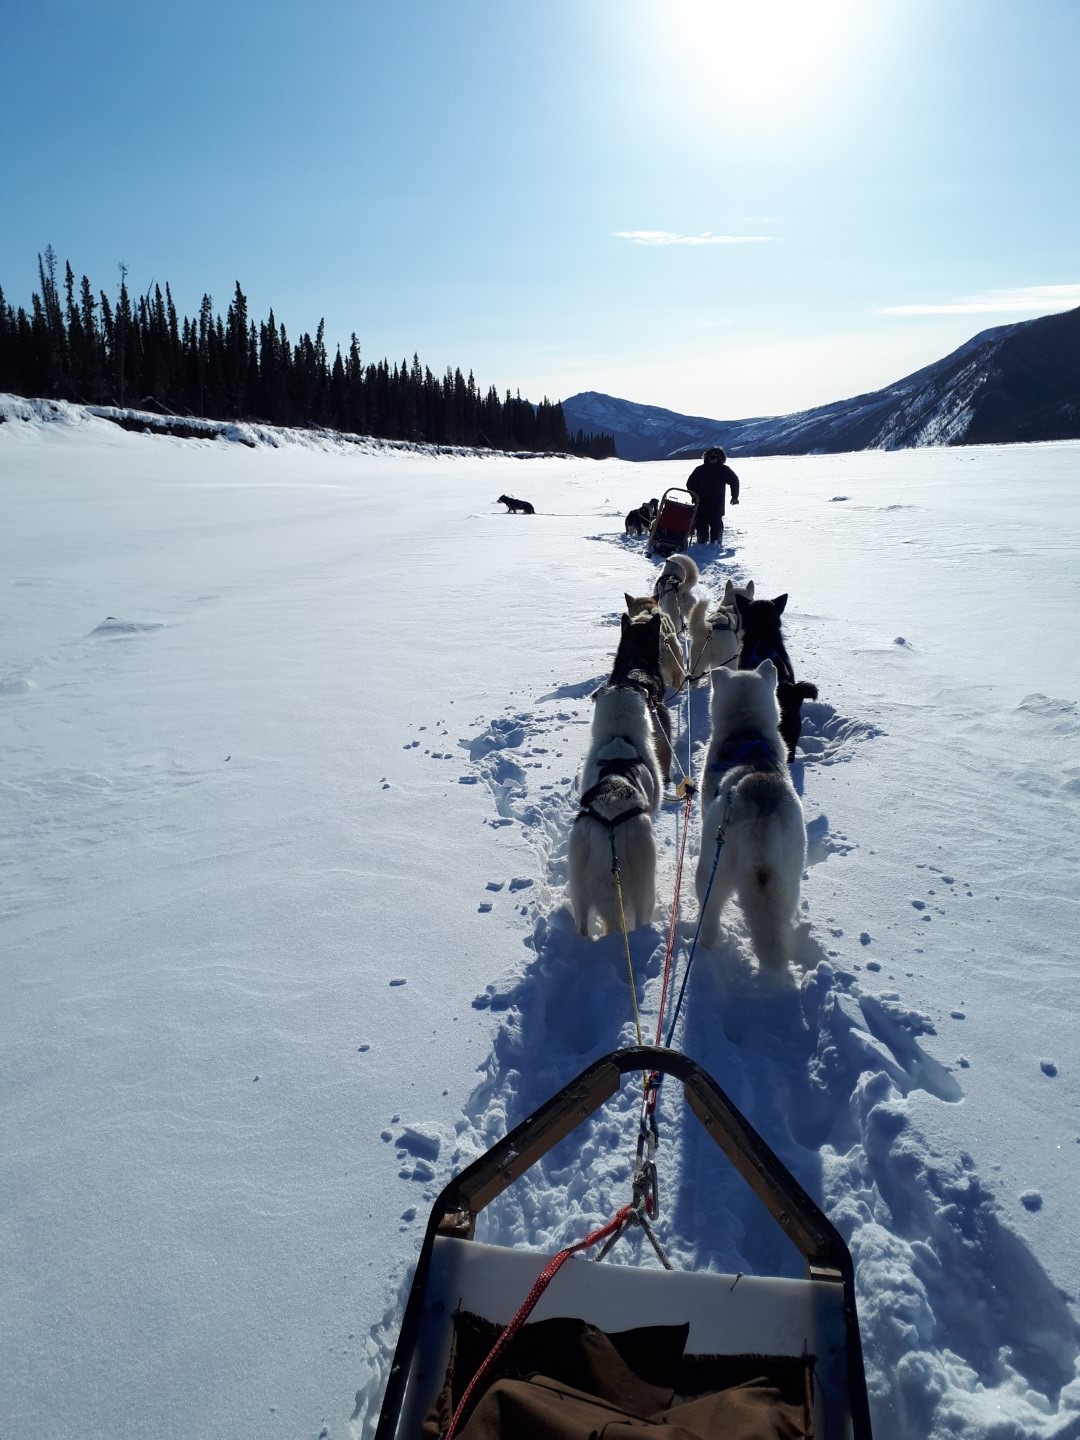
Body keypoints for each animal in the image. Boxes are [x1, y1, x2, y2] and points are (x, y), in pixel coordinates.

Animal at [696, 659, 806, 967]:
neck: (746, 732)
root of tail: (760, 805)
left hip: (713, 864)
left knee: (710, 909)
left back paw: (705, 941)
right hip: (789, 869)